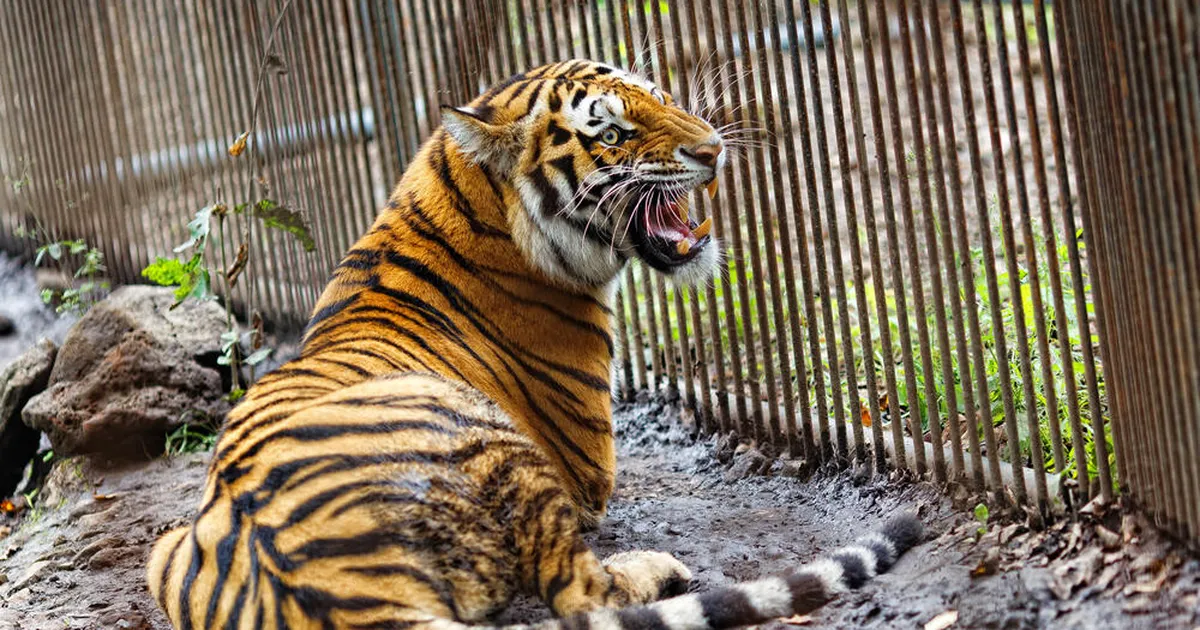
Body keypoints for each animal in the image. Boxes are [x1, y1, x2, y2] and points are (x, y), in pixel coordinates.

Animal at [146, 59, 922, 629]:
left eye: (661, 96)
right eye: (611, 135)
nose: (712, 149)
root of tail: (333, 593)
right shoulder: (589, 470)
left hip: (163, 550)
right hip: (494, 444)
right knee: (580, 591)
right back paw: (661, 569)